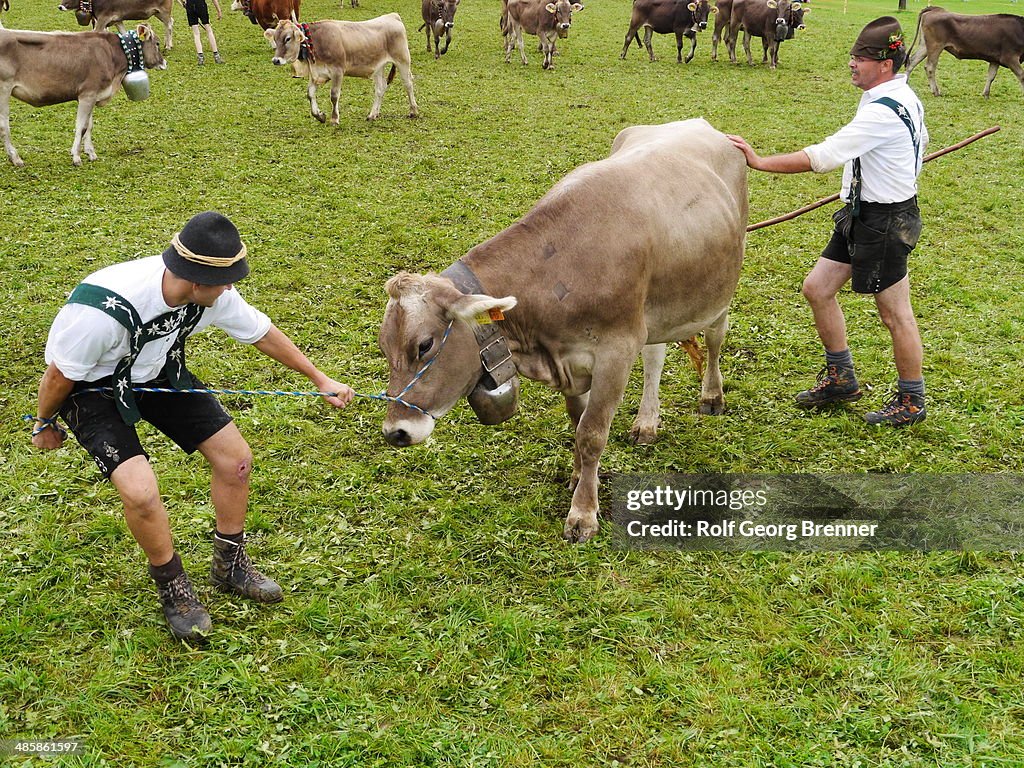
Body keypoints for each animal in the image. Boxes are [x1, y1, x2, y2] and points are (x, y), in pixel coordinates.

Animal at [0, 24, 163, 165]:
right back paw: (15, 158)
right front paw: (76, 157)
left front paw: (91, 153)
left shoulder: (91, 96)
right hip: (4, 89)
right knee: (4, 125)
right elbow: (81, 126)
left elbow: (89, 125)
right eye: (157, 43)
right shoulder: (88, 94)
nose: (164, 63)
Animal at [268, 15, 423, 124]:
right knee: (380, 88)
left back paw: (413, 111)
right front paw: (320, 115)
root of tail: (392, 16)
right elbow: (310, 94)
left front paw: (334, 118)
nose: (275, 60)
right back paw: (373, 114)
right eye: (275, 38)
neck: (317, 41)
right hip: (378, 67)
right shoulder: (317, 74)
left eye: (288, 38)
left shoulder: (337, 71)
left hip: (402, 60)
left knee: (408, 84)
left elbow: (334, 95)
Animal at [376, 118, 745, 540]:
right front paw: (579, 477)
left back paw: (712, 395)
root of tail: (698, 123)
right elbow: (576, 421)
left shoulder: (616, 351)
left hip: (719, 290)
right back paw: (647, 422)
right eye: (384, 347)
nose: (395, 432)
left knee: (715, 339)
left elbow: (591, 434)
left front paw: (583, 514)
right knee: (655, 354)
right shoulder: (573, 358)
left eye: (424, 345)